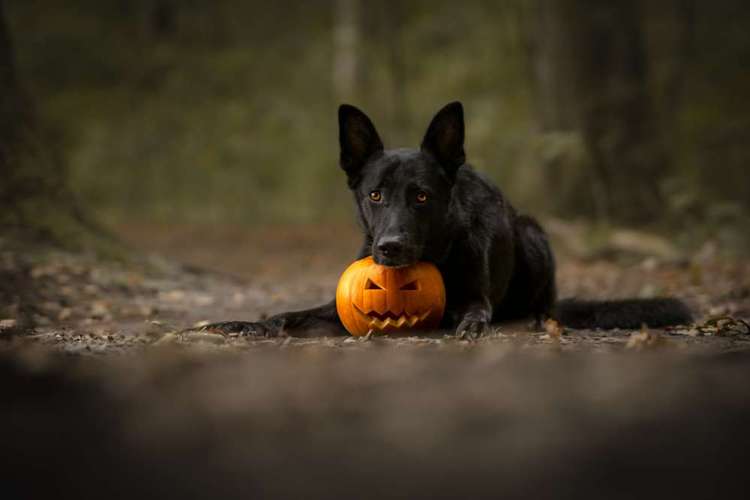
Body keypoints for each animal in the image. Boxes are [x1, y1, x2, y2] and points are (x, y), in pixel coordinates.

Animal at [209, 101, 692, 336]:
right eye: (375, 195)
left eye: (421, 197)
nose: (390, 248)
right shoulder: (335, 307)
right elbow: (290, 315)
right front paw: (244, 324)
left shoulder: (477, 297)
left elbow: (476, 312)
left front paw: (471, 326)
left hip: (532, 234)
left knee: (543, 304)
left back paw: (535, 317)